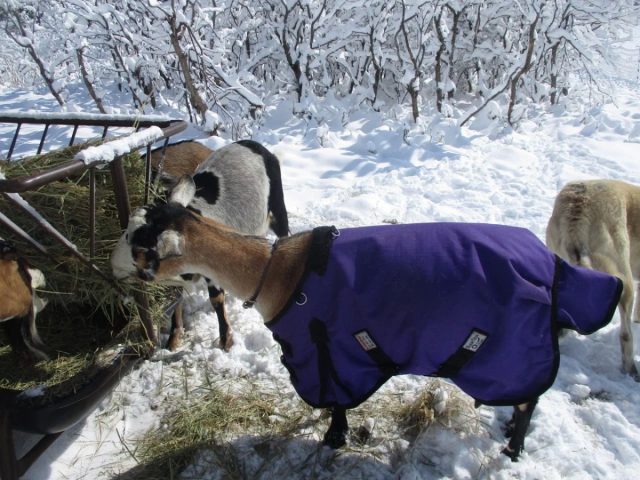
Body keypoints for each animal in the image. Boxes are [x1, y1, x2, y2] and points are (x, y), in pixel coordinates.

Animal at [111, 141, 288, 350]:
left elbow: (216, 300)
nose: (112, 265)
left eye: (140, 250)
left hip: (277, 207)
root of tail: (252, 144)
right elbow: (176, 299)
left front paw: (225, 342)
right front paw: (173, 339)